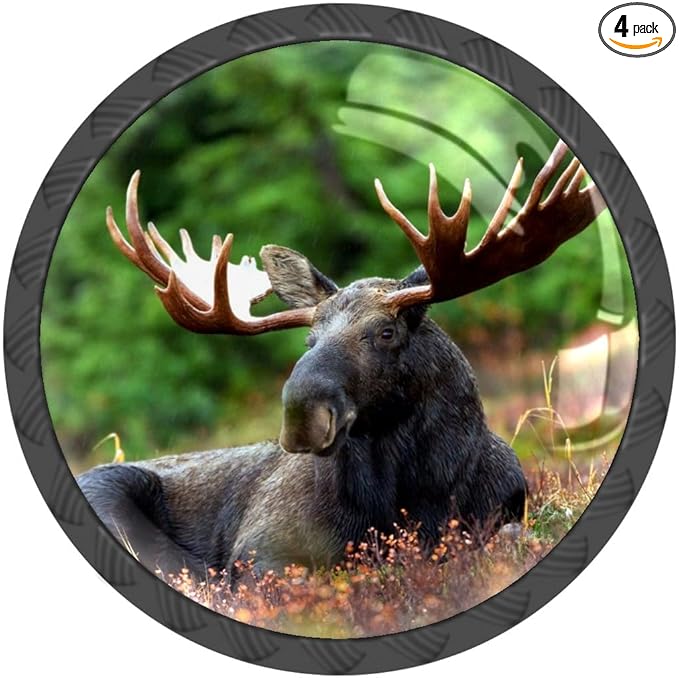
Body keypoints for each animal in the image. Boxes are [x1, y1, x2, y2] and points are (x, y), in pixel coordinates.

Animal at [77, 140, 605, 578]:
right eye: (309, 340)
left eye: (387, 332)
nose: (301, 414)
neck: (413, 497)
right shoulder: (260, 549)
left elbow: (510, 537)